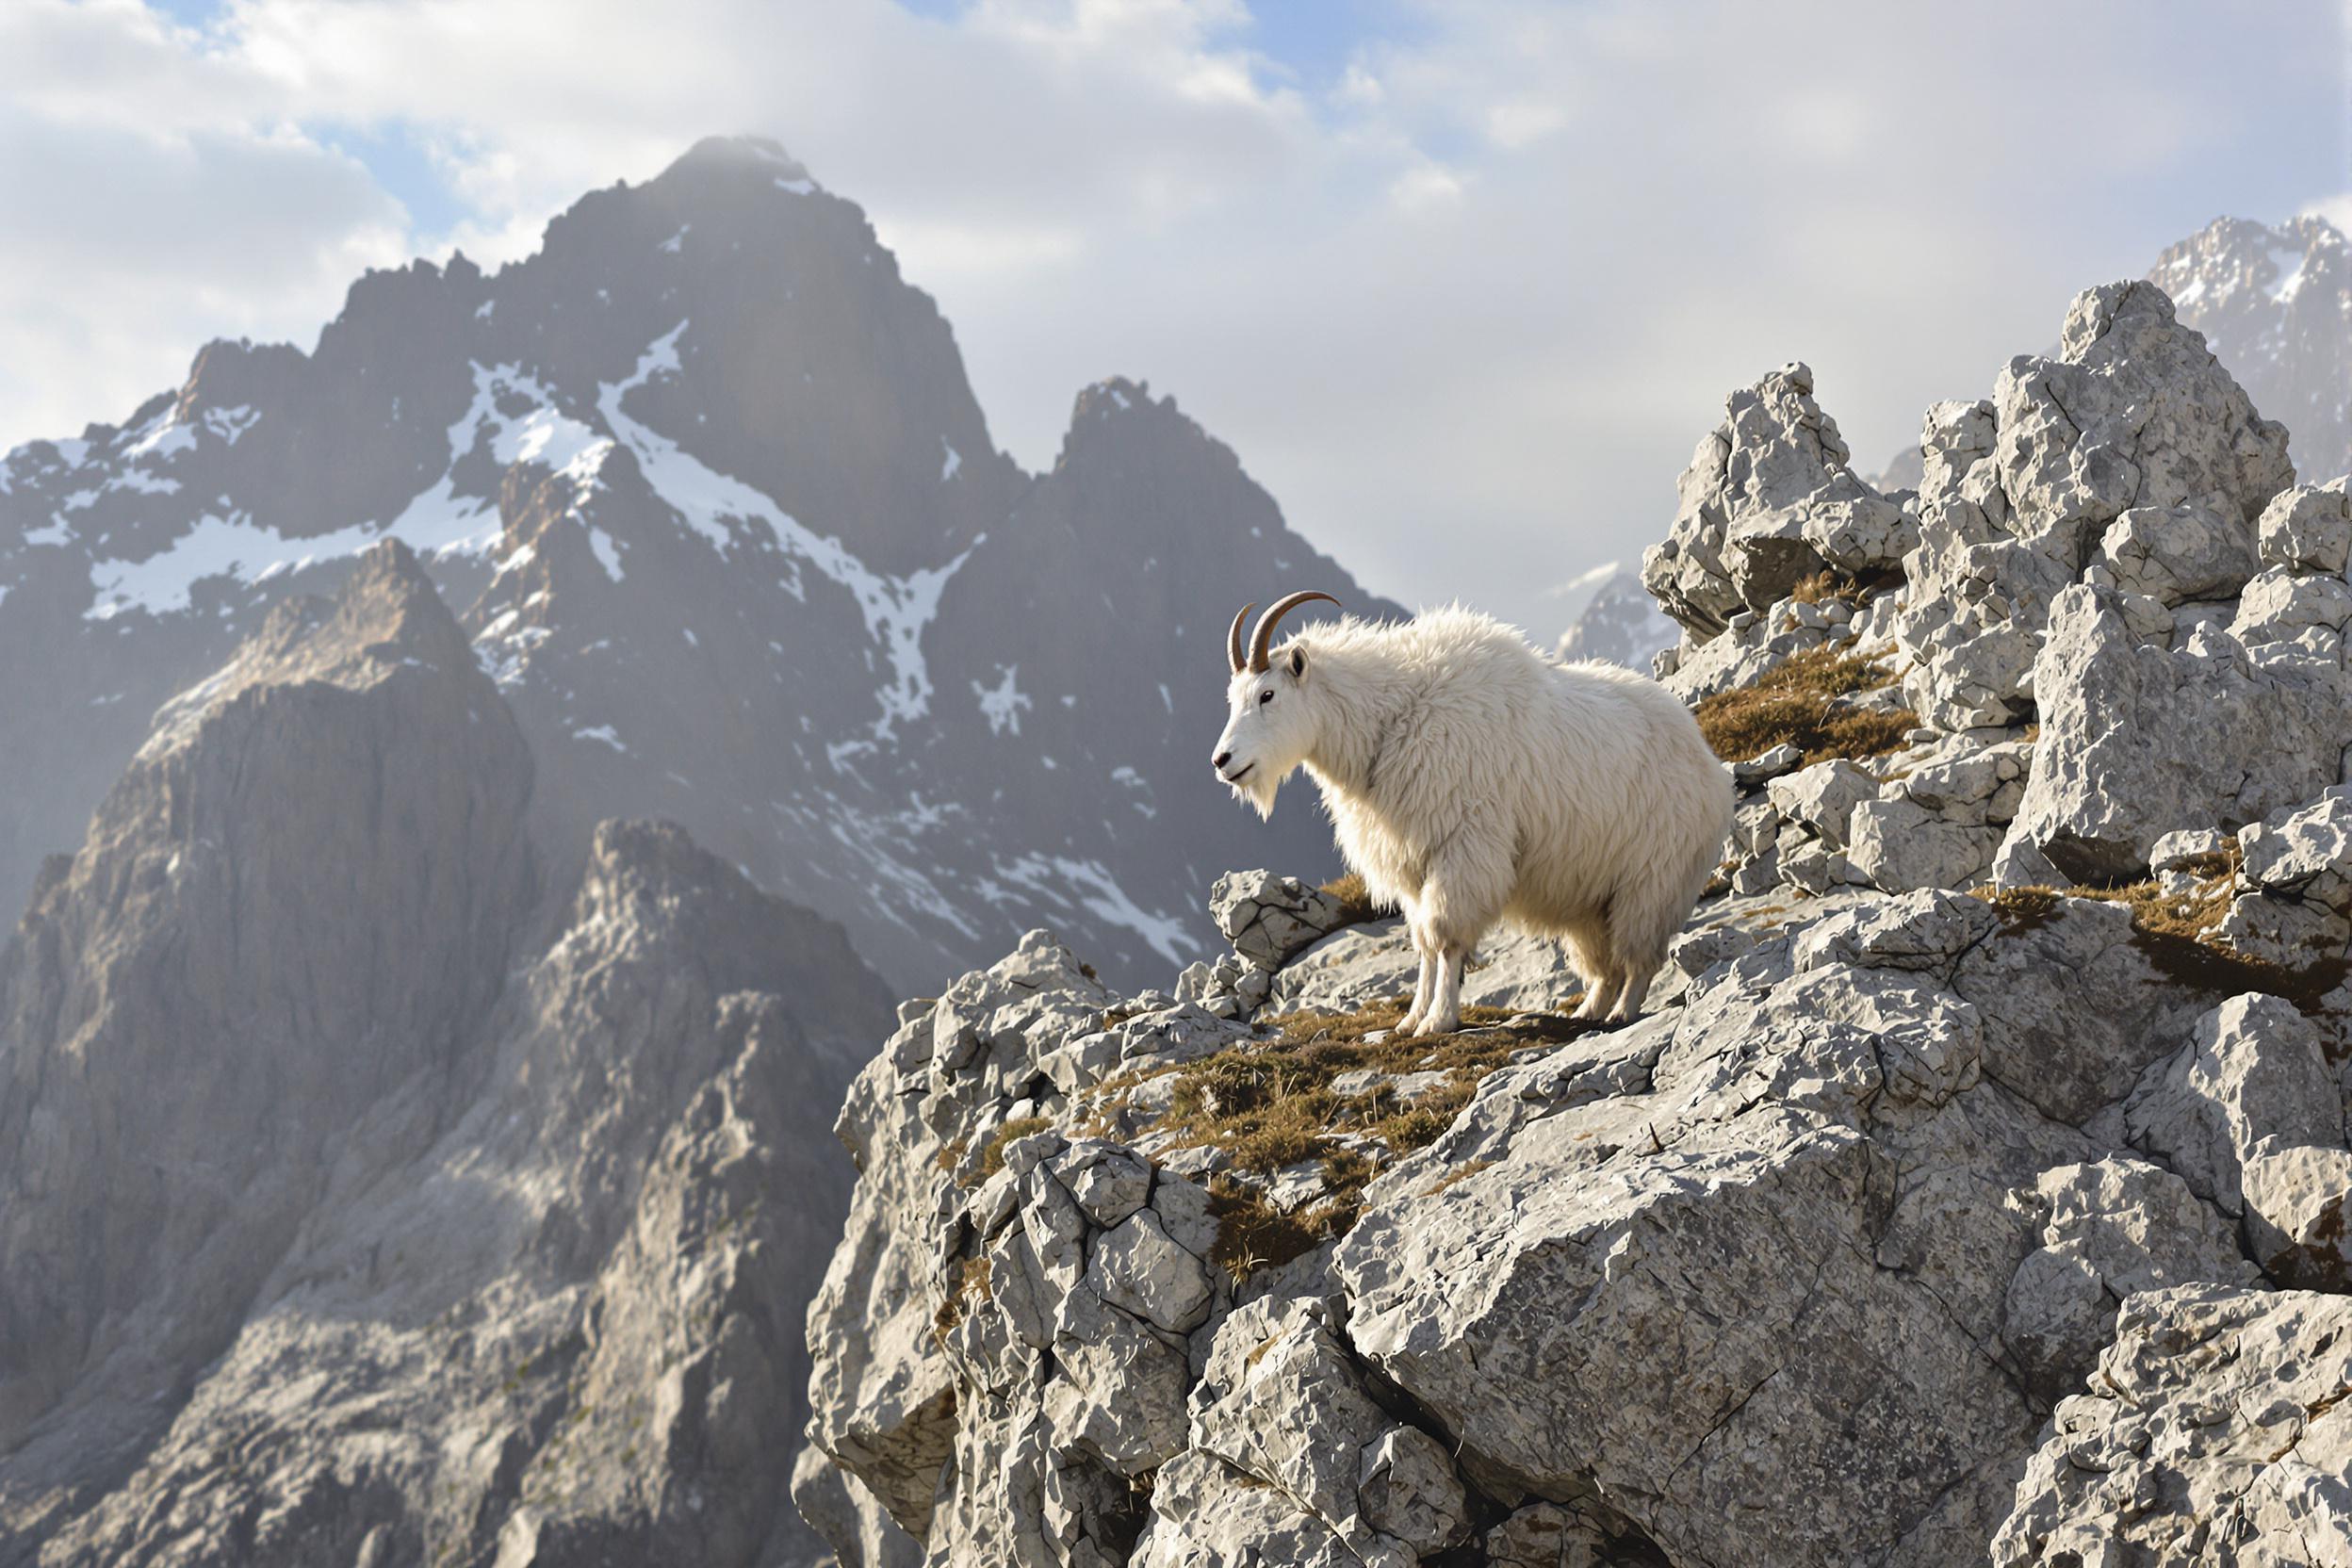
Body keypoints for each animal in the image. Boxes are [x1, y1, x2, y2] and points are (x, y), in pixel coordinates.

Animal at [1213, 595, 1731, 1034]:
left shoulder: (1462, 850)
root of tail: (1710, 767)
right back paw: (1588, 1010)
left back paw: (1622, 1012)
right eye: (1233, 698)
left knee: (1639, 956)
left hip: (1652, 881)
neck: (1393, 720)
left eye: (1267, 695)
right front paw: (1410, 1020)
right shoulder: (1413, 862)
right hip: (1588, 894)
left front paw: (1438, 1020)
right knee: (1602, 963)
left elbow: (1444, 937)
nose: (1222, 761)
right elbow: (1422, 942)